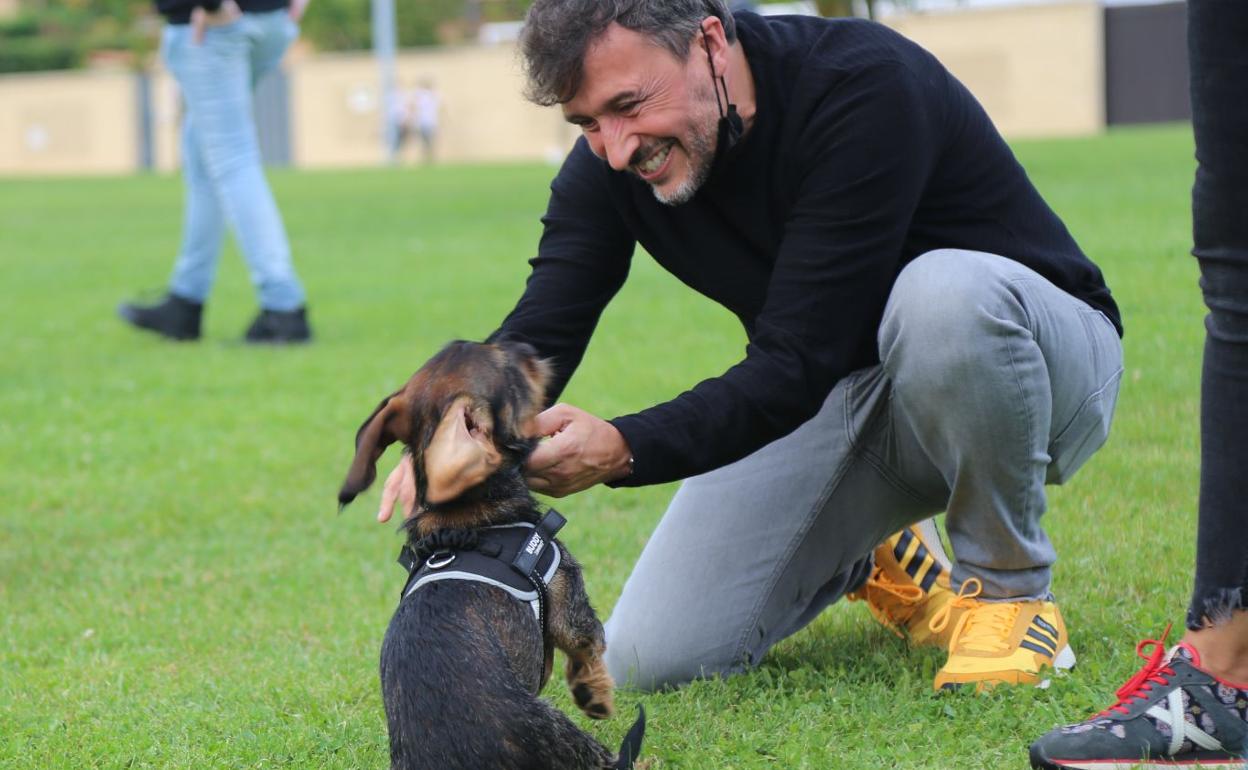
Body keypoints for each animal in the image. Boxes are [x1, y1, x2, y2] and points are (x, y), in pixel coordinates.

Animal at [336, 339, 643, 768]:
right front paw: (594, 695)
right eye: (511, 372)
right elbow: (589, 646)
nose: (527, 346)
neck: (467, 516)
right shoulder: (568, 601)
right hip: (563, 733)